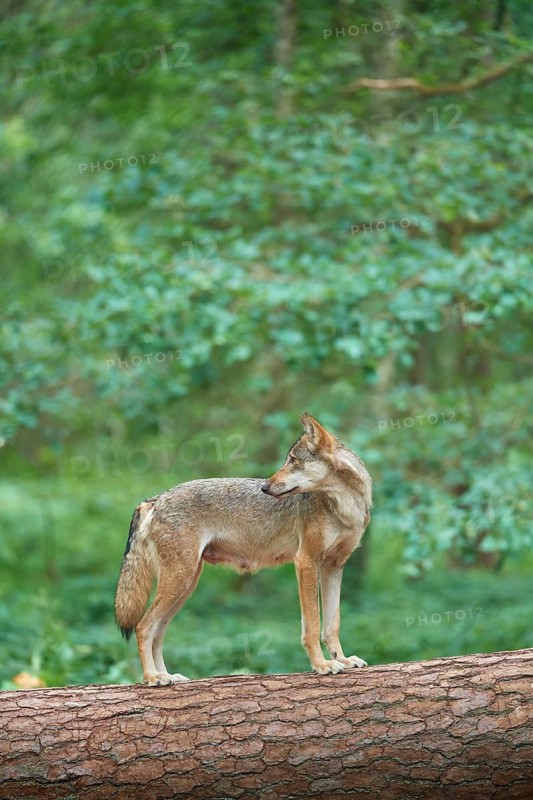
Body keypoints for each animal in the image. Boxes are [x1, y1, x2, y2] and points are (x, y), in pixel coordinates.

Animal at [115, 413, 372, 685]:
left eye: (292, 461)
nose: (265, 487)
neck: (346, 506)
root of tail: (153, 500)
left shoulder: (333, 566)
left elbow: (332, 625)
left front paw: (343, 660)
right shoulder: (306, 562)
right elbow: (312, 626)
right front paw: (322, 665)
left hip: (186, 584)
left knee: (158, 632)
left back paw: (167, 674)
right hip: (179, 581)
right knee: (143, 627)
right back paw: (153, 678)